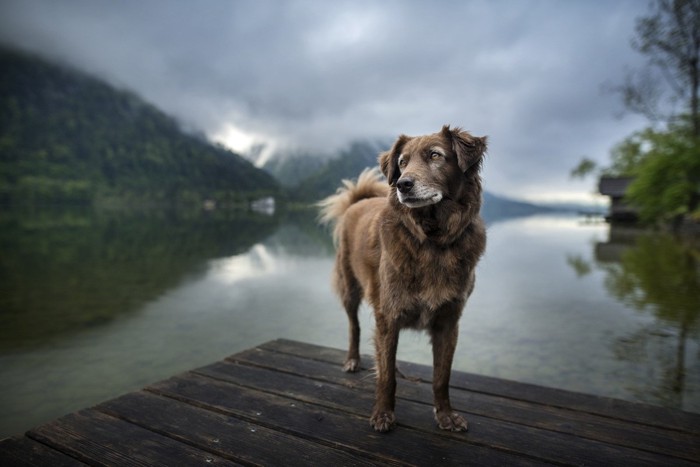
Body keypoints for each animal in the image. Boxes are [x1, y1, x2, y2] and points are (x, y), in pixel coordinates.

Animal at [318, 126, 486, 434]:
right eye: (402, 162)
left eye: (435, 155)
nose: (402, 184)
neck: (432, 241)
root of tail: (359, 200)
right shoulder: (389, 313)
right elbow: (386, 379)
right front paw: (383, 413)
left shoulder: (448, 321)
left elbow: (441, 377)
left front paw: (445, 415)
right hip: (350, 288)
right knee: (355, 327)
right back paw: (353, 360)